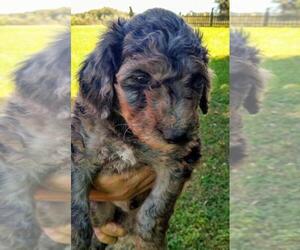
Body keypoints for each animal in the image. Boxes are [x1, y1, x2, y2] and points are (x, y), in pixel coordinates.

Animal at [71, 7, 210, 250]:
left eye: (197, 80)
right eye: (140, 77)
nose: (178, 136)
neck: (127, 134)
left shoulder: (178, 161)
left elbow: (156, 207)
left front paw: (149, 238)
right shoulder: (81, 150)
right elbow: (76, 203)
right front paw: (77, 238)